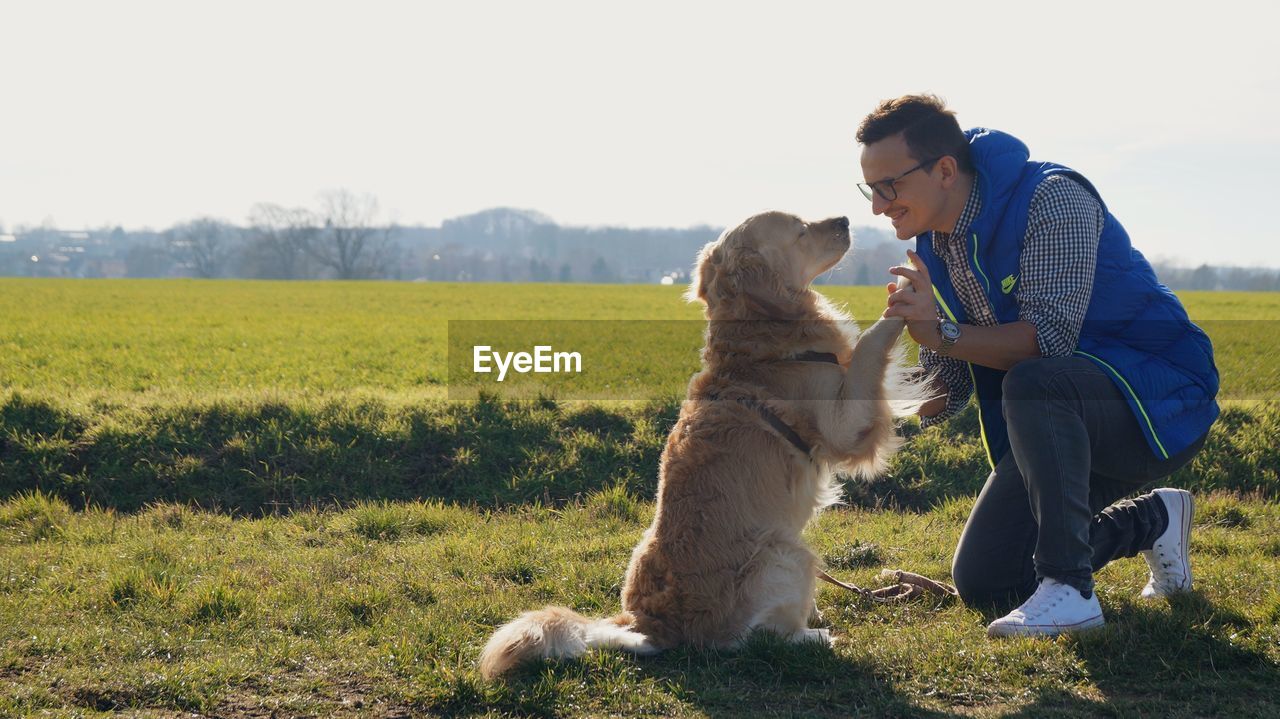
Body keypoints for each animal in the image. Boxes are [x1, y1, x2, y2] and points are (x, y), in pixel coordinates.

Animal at [481, 208, 921, 675]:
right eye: (801, 230)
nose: (845, 220)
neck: (760, 344)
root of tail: (647, 624)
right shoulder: (844, 423)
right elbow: (870, 346)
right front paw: (906, 293)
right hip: (787, 552)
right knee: (752, 640)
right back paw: (810, 635)